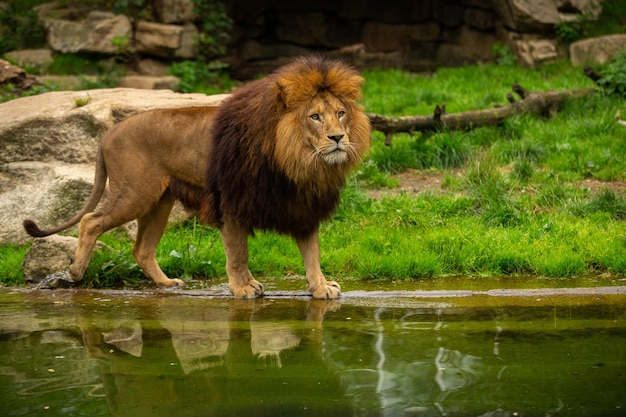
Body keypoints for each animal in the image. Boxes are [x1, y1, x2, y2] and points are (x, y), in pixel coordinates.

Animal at [22, 55, 368, 298]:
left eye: (340, 113)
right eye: (315, 116)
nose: (338, 137)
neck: (297, 160)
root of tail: (108, 134)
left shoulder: (301, 206)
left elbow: (312, 254)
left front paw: (321, 288)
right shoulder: (231, 202)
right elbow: (238, 253)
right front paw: (243, 288)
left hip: (159, 202)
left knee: (141, 249)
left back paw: (166, 283)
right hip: (135, 193)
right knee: (90, 221)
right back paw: (75, 272)